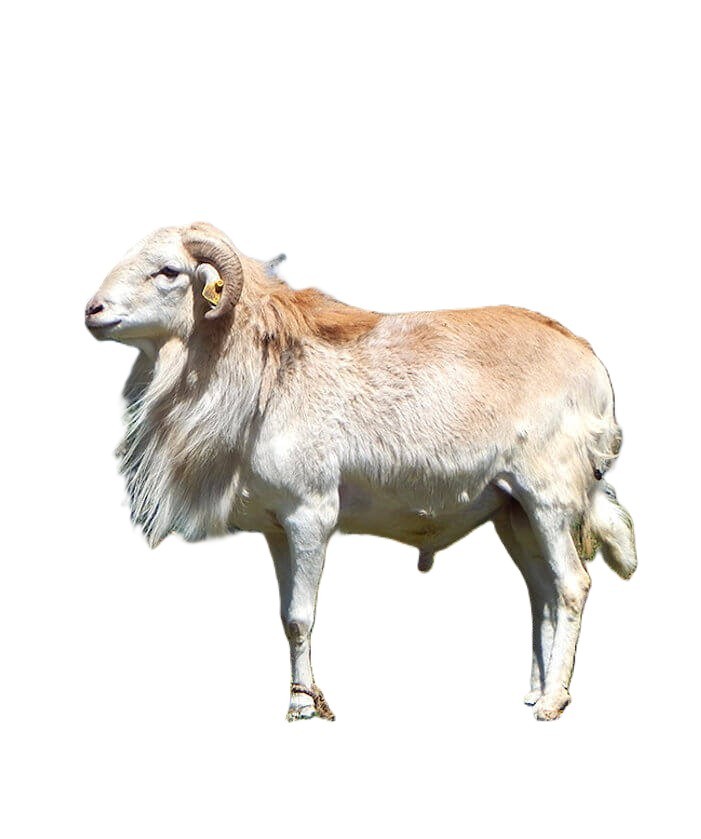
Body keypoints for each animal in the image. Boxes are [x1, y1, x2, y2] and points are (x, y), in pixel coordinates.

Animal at [85, 221, 637, 722]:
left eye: (168, 271)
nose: (93, 312)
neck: (262, 377)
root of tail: (592, 369)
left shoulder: (311, 517)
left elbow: (301, 618)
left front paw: (305, 709)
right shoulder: (278, 529)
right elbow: (285, 619)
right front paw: (301, 699)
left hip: (548, 501)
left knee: (572, 586)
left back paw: (552, 704)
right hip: (515, 514)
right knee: (541, 593)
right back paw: (533, 693)